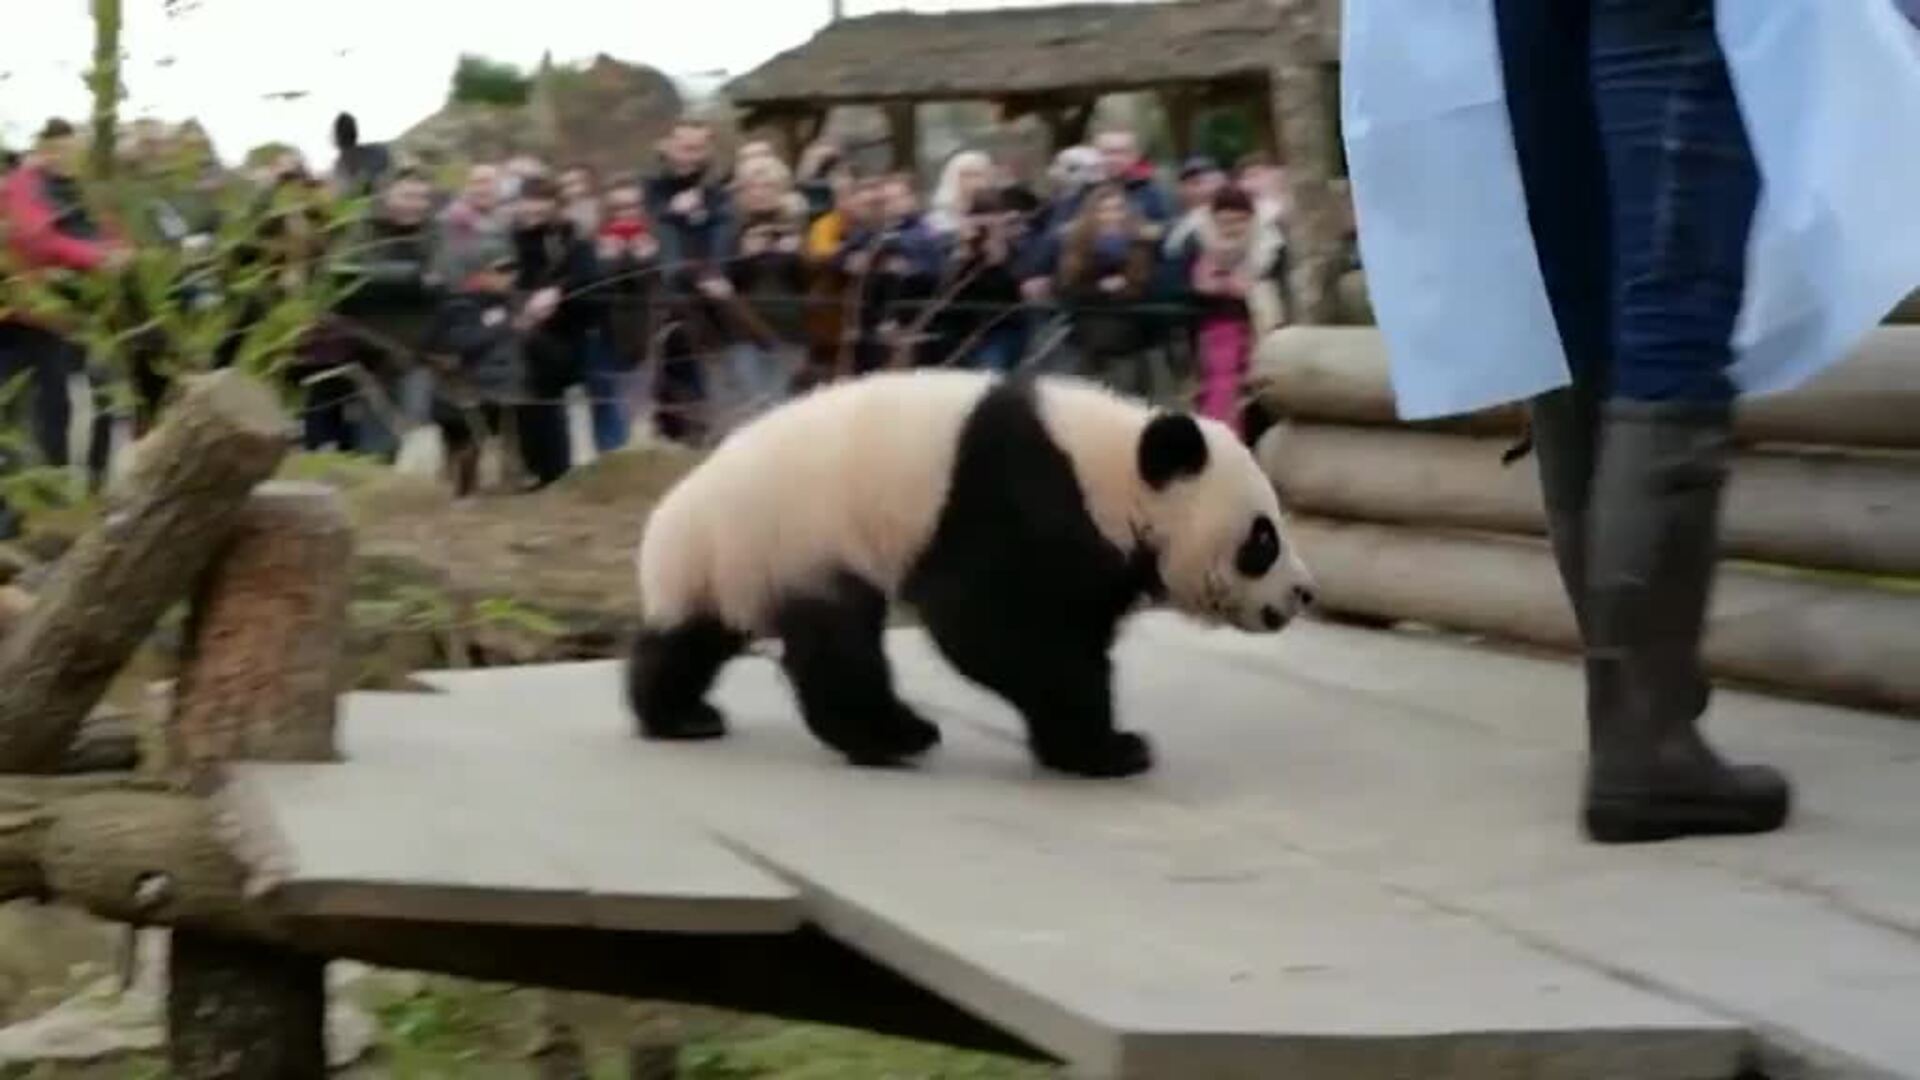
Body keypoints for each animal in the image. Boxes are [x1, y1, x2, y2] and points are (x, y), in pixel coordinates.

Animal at [627, 367, 1316, 779]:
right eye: (1262, 539)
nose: (1304, 593)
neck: (1110, 469)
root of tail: (671, 521)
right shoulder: (1015, 496)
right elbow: (989, 625)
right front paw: (1110, 747)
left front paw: (1088, 741)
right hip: (801, 539)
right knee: (838, 645)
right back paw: (890, 735)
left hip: (737, 565)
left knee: (691, 638)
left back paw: (679, 715)